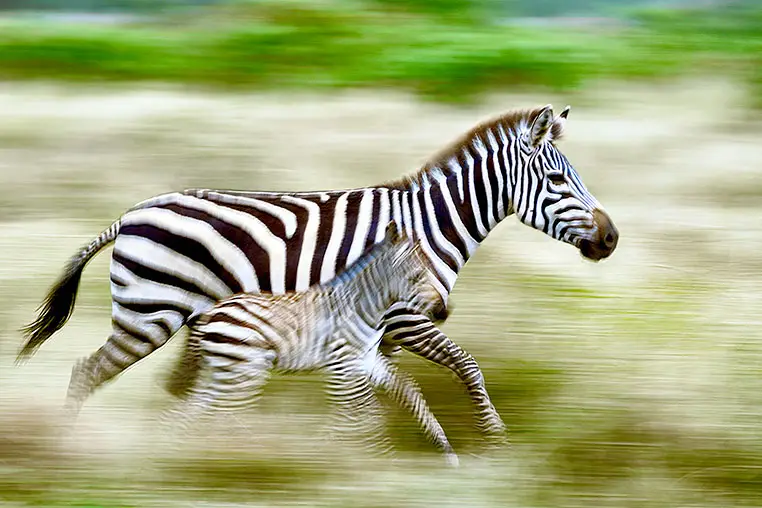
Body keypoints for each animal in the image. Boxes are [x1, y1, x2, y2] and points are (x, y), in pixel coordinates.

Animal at [155, 222, 459, 465]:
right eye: (417, 277)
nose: (444, 312)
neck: (364, 307)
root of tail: (211, 311)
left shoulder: (368, 362)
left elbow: (407, 393)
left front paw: (445, 450)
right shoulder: (343, 366)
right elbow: (365, 413)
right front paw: (375, 460)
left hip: (222, 368)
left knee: (191, 410)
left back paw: (177, 452)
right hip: (245, 369)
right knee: (228, 414)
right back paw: (240, 457)